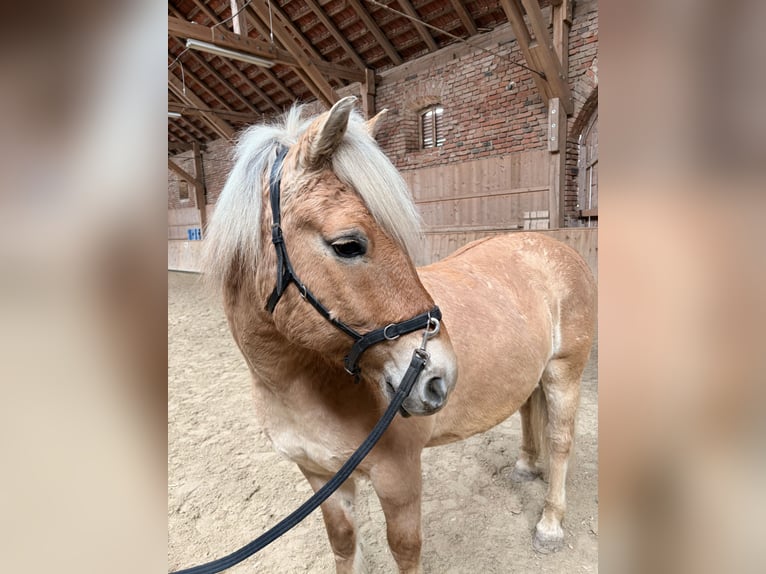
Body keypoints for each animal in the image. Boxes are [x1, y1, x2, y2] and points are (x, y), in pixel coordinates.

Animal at [201, 96, 596, 573]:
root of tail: (558, 248)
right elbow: (343, 544)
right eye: (348, 245)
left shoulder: (399, 479)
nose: (440, 376)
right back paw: (525, 466)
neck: (297, 385)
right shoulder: (321, 478)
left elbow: (405, 550)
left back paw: (550, 525)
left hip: (564, 373)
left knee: (560, 442)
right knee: (526, 411)